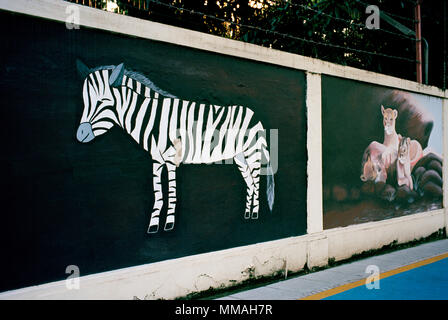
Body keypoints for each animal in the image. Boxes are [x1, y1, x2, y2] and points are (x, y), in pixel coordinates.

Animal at [75, 60, 274, 234]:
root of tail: (254, 114)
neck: (154, 118)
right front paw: (153, 226)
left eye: (103, 101)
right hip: (239, 157)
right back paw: (247, 214)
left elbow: (171, 194)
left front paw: (168, 224)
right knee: (250, 182)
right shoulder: (156, 160)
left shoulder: (171, 159)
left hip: (252, 153)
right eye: (84, 101)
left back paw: (255, 214)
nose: (80, 135)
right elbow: (158, 194)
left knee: (256, 182)